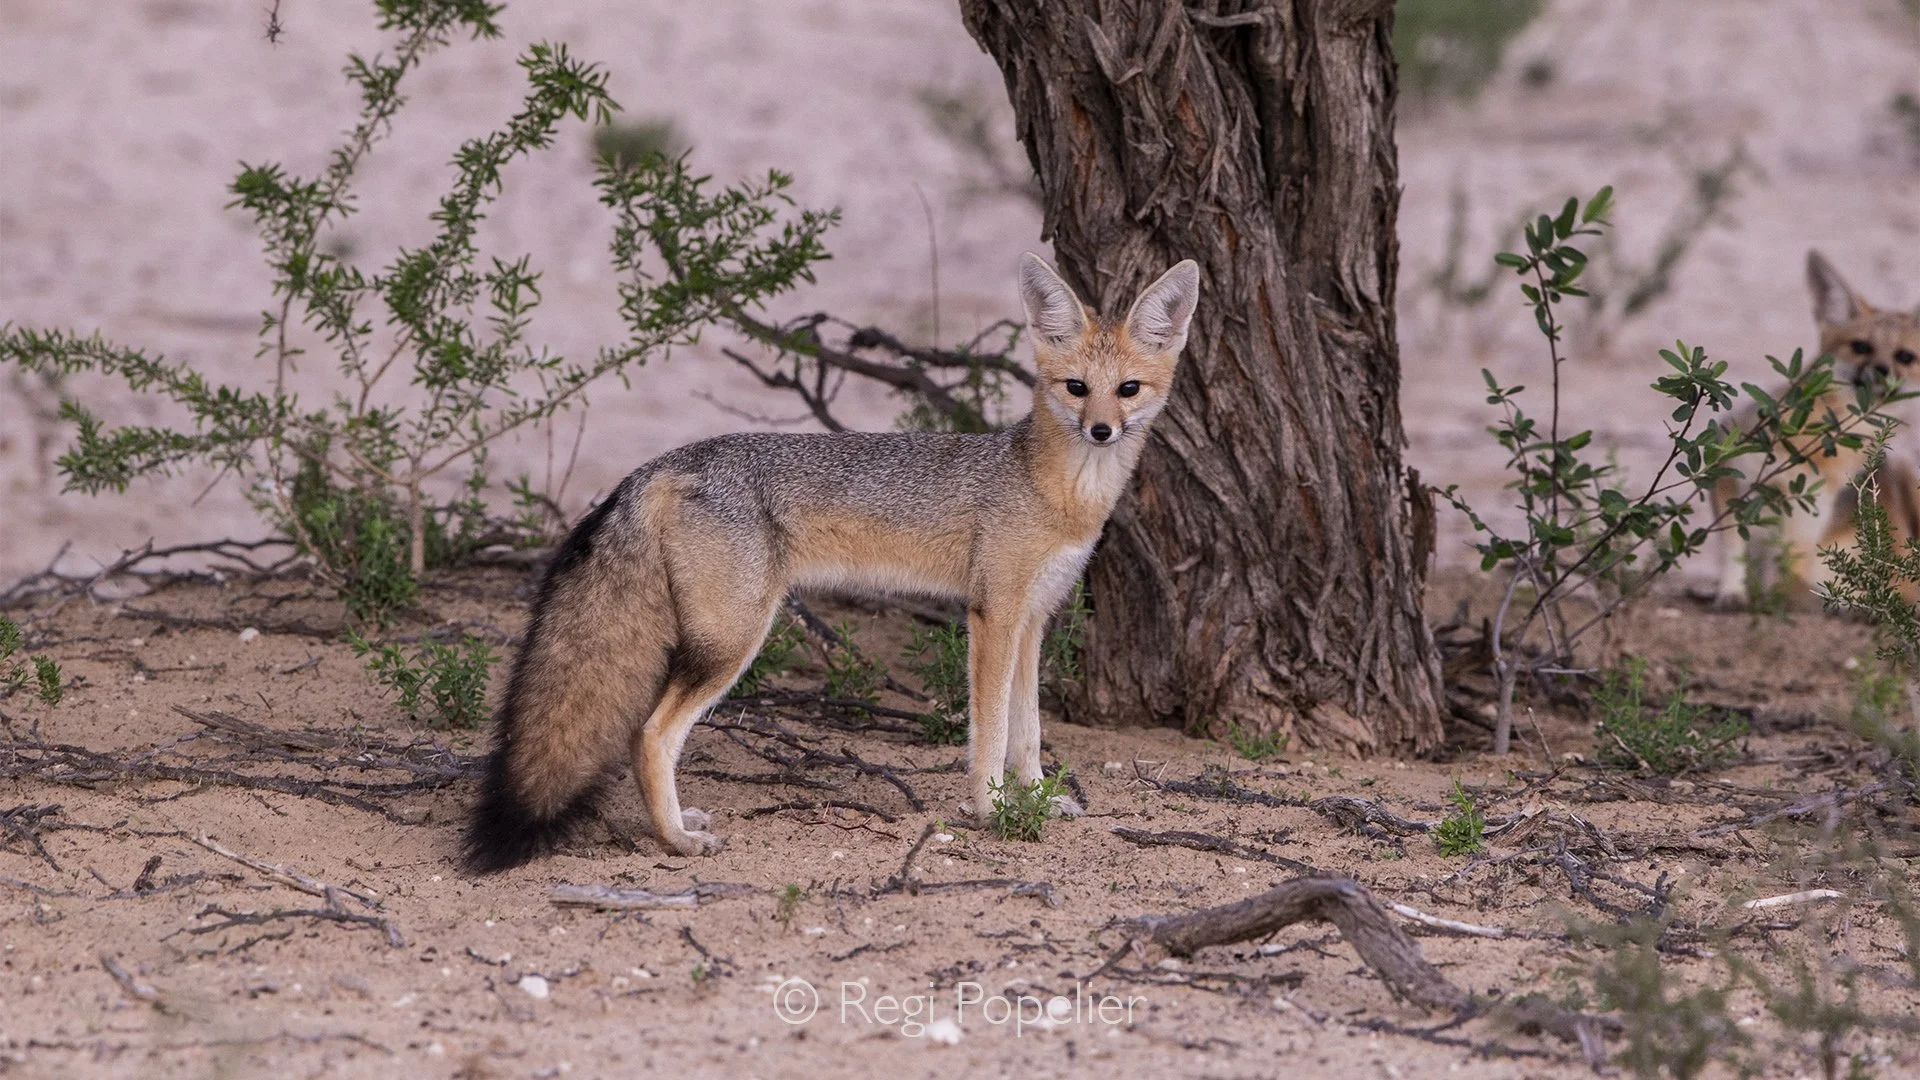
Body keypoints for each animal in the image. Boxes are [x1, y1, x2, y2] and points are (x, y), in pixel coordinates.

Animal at [462, 253, 1201, 872]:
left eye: (1127, 389)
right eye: (1076, 387)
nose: (1101, 430)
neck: (1053, 489)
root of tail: (667, 461)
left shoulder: (1032, 619)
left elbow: (1028, 731)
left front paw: (1037, 797)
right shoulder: (992, 615)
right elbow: (989, 731)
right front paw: (992, 810)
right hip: (734, 641)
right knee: (649, 735)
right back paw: (675, 840)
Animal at [1710, 250, 1920, 610]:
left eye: (1905, 357)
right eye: (1861, 347)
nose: (1881, 370)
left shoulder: (1808, 518)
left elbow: (1786, 576)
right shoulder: (1728, 473)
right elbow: (1733, 549)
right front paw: (1732, 592)